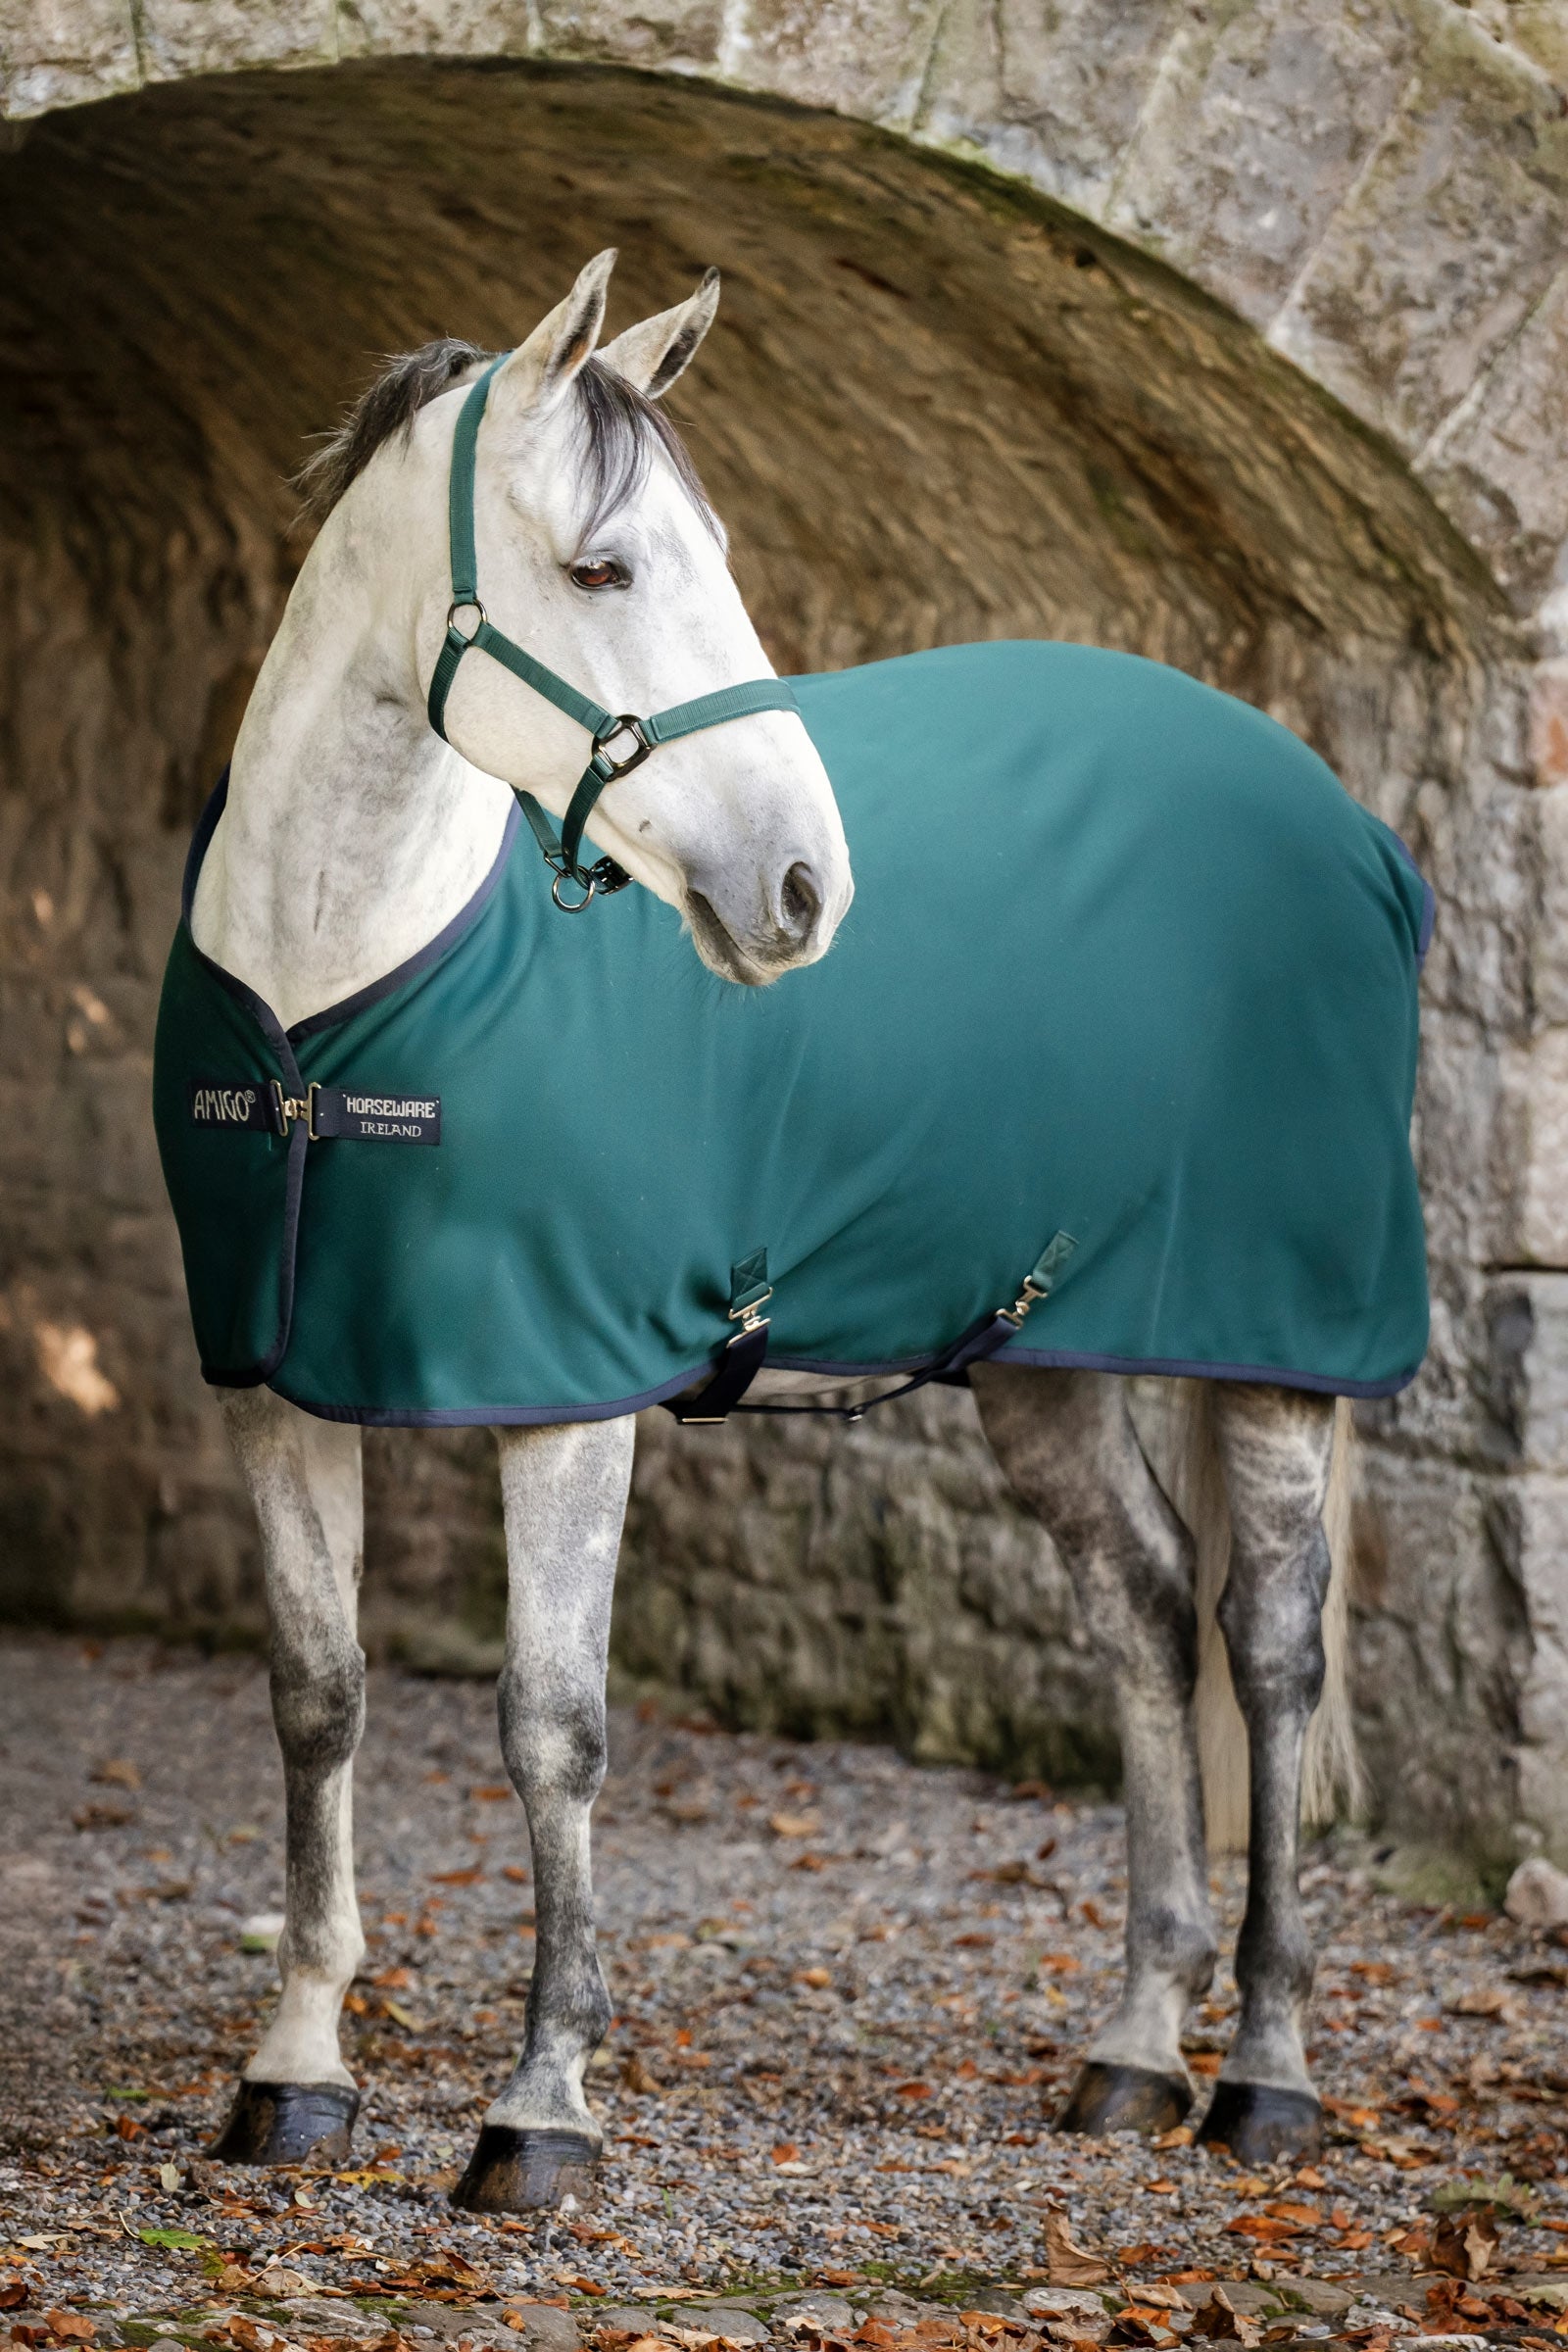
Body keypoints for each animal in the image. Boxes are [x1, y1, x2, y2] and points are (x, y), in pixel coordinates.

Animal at [160, 250, 1427, 2212]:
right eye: (605, 569)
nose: (805, 891)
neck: (335, 997)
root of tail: (1346, 824)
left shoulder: (568, 1401)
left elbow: (553, 1727)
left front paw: (542, 2106)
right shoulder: (275, 1387)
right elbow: (317, 1701)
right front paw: (294, 2072)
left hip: (1279, 1354)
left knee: (1270, 1652)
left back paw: (1268, 2076)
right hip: (1042, 1355)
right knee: (1144, 1612)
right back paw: (1135, 2046)